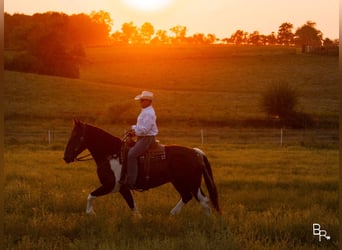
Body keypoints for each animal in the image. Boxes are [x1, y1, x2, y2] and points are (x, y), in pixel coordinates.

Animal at [62, 119, 220, 217]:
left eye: (75, 136)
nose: (66, 157)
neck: (112, 154)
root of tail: (195, 152)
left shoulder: (111, 185)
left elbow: (90, 195)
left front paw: (90, 213)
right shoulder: (122, 188)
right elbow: (132, 204)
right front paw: (139, 218)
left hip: (191, 183)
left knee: (203, 200)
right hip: (181, 182)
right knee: (187, 197)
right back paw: (172, 214)